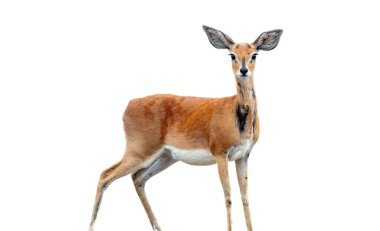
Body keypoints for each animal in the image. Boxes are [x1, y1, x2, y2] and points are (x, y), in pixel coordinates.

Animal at [89, 25, 282, 231]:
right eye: (232, 54)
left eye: (254, 54)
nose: (243, 70)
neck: (237, 114)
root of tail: (130, 104)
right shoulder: (221, 154)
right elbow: (228, 197)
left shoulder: (243, 156)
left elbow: (245, 197)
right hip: (139, 153)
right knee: (105, 175)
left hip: (165, 157)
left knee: (137, 178)